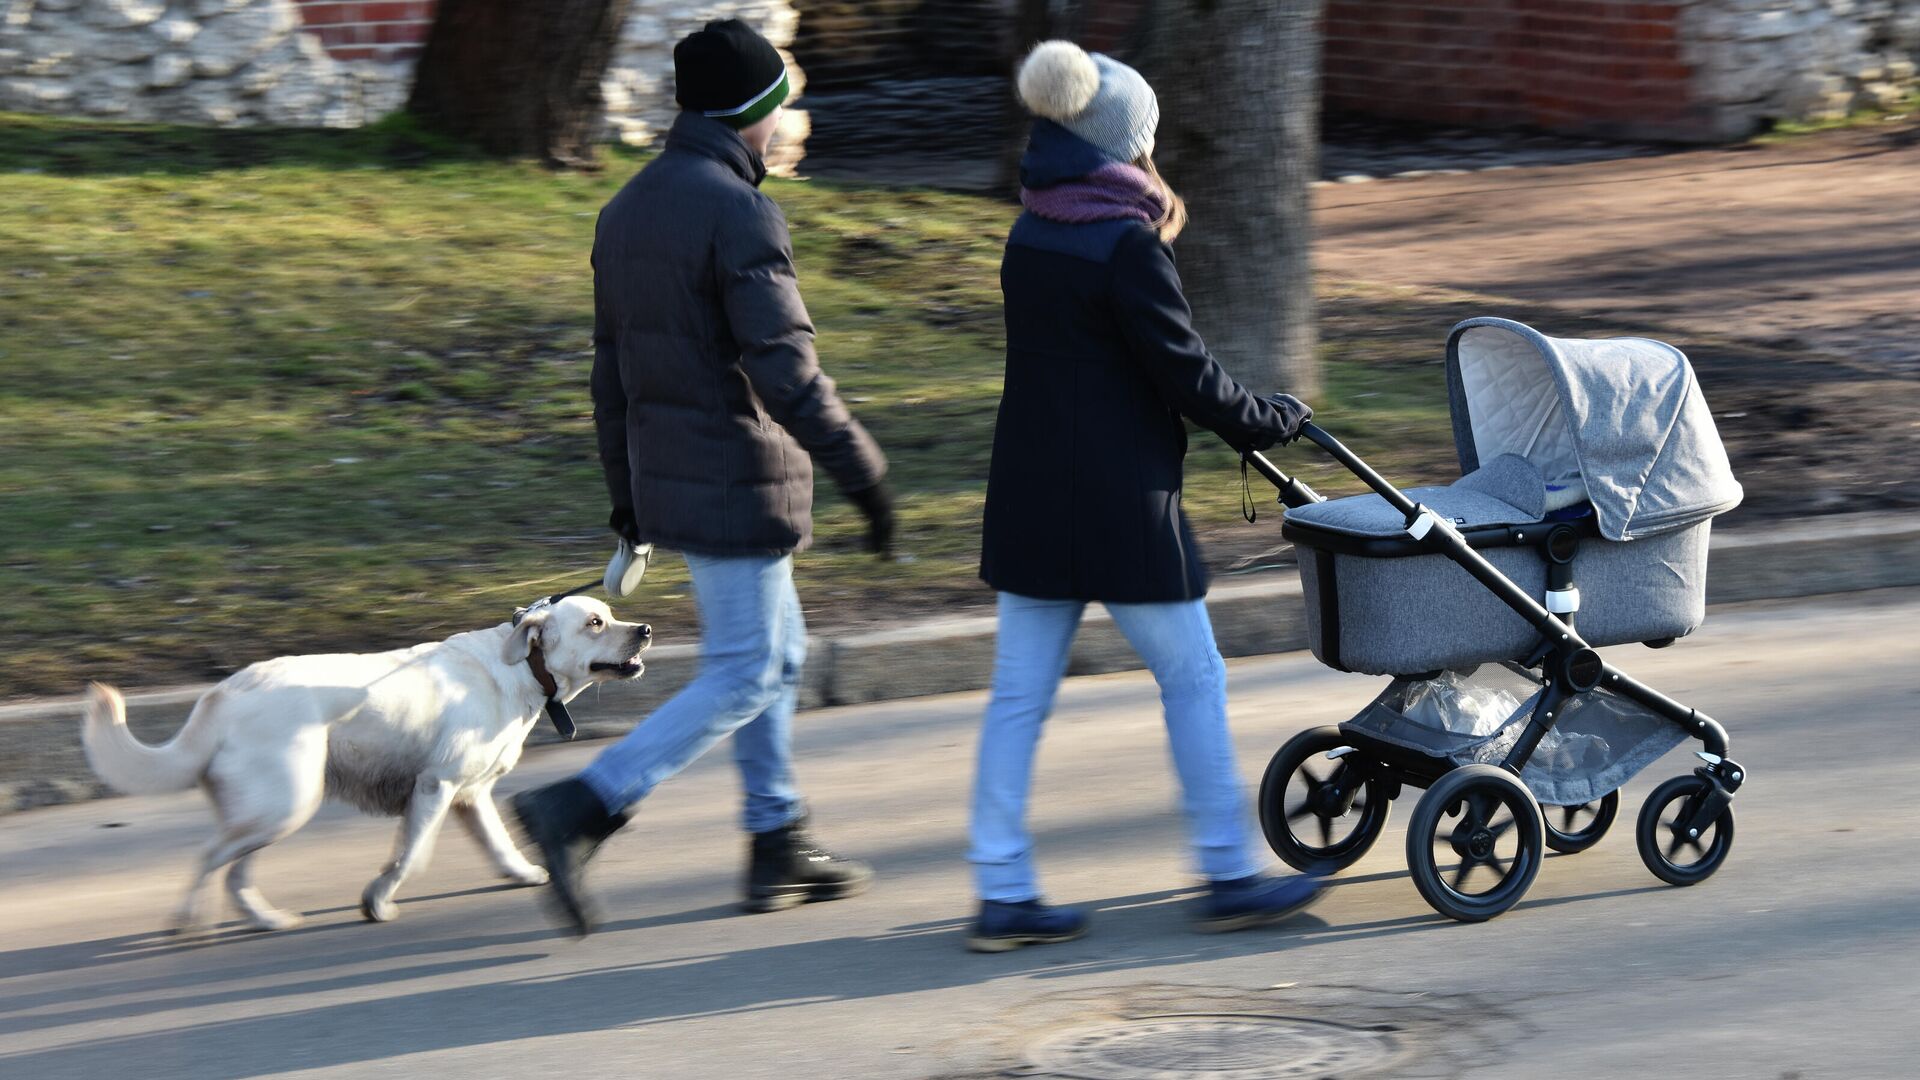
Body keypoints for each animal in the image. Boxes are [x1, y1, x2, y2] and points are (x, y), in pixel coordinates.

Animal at [82, 591, 648, 930]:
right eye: (596, 622)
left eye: (609, 615)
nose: (643, 628)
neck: (523, 668)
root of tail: (221, 695)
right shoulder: (435, 787)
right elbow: (410, 856)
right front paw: (378, 900)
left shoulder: (469, 795)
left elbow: (497, 840)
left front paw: (524, 871)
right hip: (286, 805)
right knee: (208, 858)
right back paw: (189, 921)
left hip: (268, 812)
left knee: (233, 872)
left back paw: (267, 920)